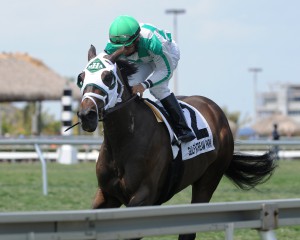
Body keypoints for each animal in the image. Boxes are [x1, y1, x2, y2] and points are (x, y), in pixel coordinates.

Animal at [77, 45, 276, 240]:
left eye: (108, 77)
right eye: (82, 77)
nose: (86, 115)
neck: (124, 140)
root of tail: (216, 110)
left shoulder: (144, 198)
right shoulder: (107, 195)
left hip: (209, 180)